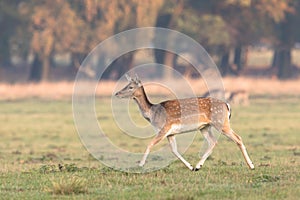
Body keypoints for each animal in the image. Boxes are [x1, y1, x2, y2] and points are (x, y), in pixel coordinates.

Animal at [114, 74, 253, 170]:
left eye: (130, 87)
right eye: (126, 85)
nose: (117, 93)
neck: (152, 114)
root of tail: (227, 105)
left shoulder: (164, 128)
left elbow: (150, 144)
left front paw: (141, 164)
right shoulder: (171, 133)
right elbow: (174, 151)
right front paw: (190, 167)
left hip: (221, 122)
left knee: (238, 138)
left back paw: (251, 165)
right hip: (205, 127)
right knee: (213, 141)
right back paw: (198, 166)